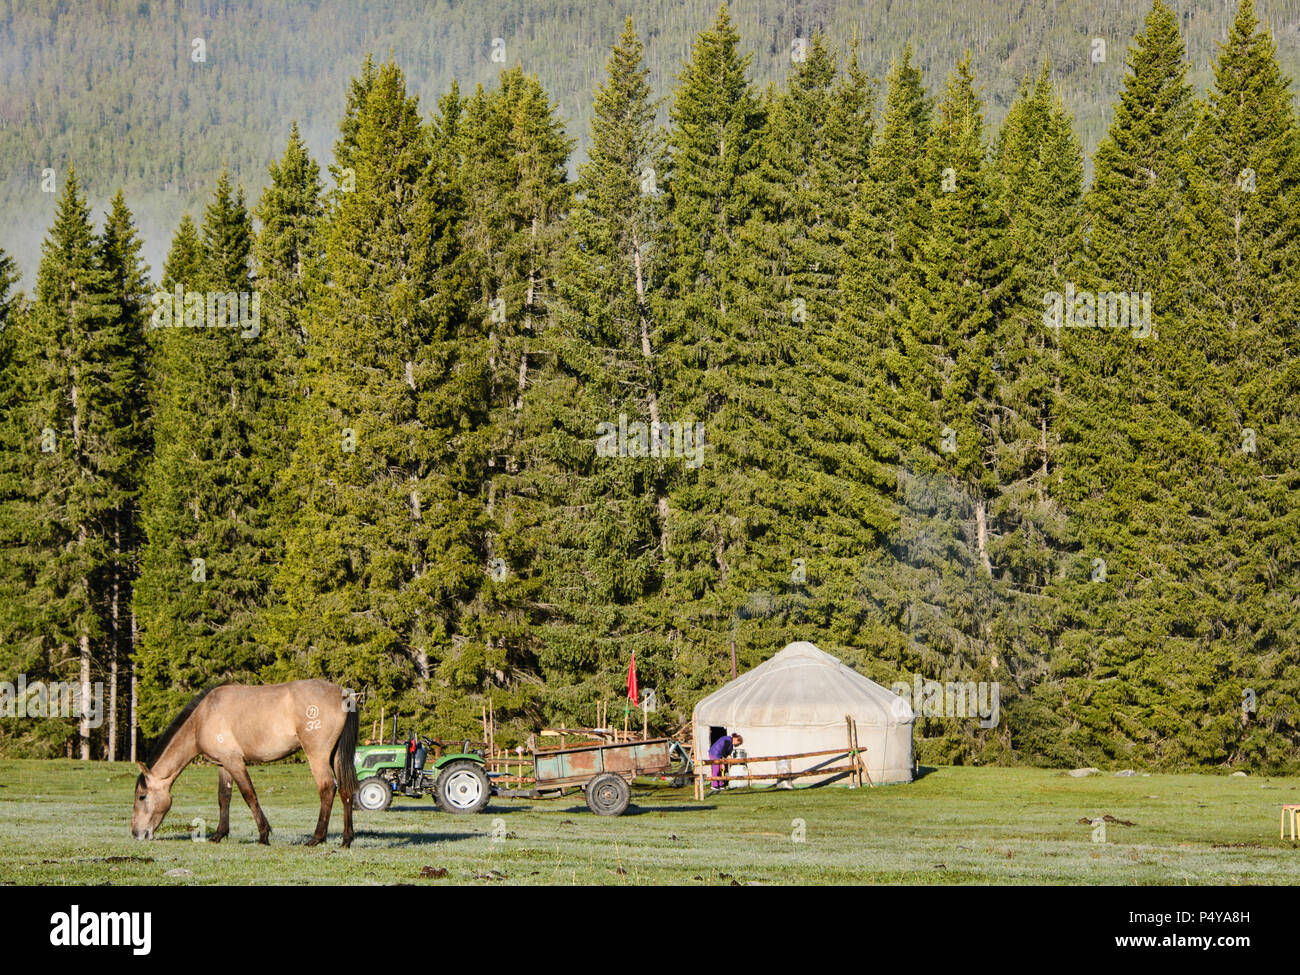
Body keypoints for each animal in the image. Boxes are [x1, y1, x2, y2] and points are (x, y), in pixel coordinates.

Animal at [131, 681, 358, 847]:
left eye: (142, 796)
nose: (136, 833)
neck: (203, 718)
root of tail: (342, 694)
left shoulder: (235, 762)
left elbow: (249, 795)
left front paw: (264, 836)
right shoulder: (223, 764)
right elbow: (224, 798)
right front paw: (218, 835)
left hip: (317, 755)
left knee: (327, 788)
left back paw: (316, 838)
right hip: (335, 756)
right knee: (345, 791)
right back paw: (346, 840)